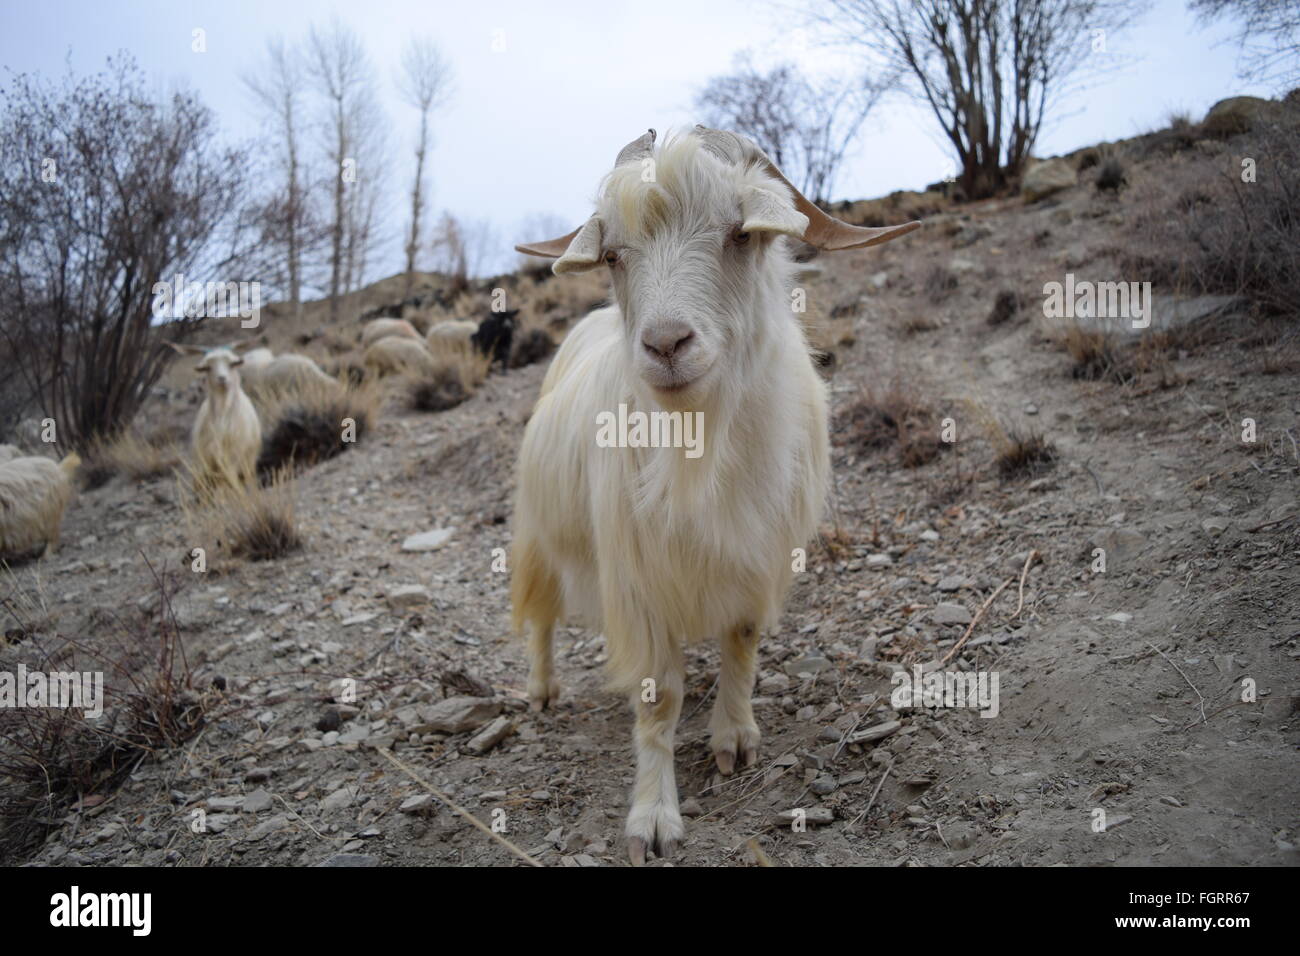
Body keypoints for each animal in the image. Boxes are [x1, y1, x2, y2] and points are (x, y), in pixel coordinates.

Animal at [171, 343, 265, 489]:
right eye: (207, 367)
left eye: (232, 364)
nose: (222, 378)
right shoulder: (205, 462)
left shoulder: (232, 460)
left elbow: (232, 484)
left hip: (246, 462)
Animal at [512, 123, 920, 863]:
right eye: (612, 254)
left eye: (739, 234)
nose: (666, 343)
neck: (700, 442)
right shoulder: (638, 580)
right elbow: (658, 700)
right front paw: (653, 817)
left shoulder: (758, 558)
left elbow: (741, 643)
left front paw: (734, 736)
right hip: (538, 533)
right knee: (543, 617)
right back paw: (543, 689)